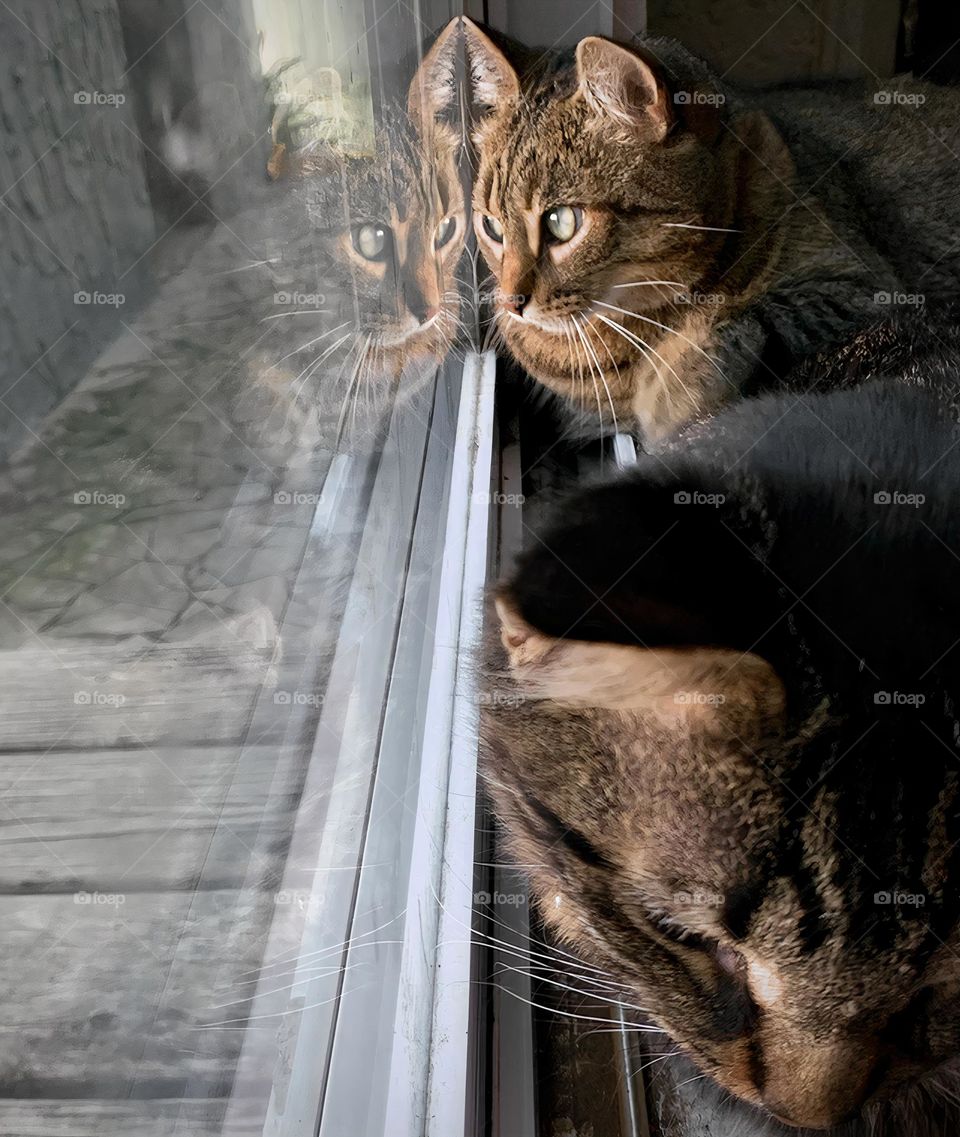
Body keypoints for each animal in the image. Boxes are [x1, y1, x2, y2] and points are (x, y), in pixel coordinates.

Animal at [454, 15, 960, 447]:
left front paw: (676, 383)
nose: (511, 304)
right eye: (491, 226)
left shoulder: (862, 288)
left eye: (562, 222)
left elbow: (750, 314)